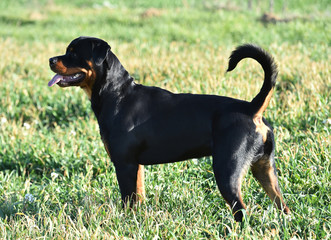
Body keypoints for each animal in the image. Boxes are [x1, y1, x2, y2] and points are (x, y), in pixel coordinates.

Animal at [48, 36, 290, 222]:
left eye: (73, 53)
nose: (51, 59)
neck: (117, 94)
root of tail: (252, 108)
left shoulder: (124, 164)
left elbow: (127, 199)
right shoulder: (136, 166)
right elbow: (138, 197)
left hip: (227, 171)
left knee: (241, 210)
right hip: (265, 169)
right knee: (282, 205)